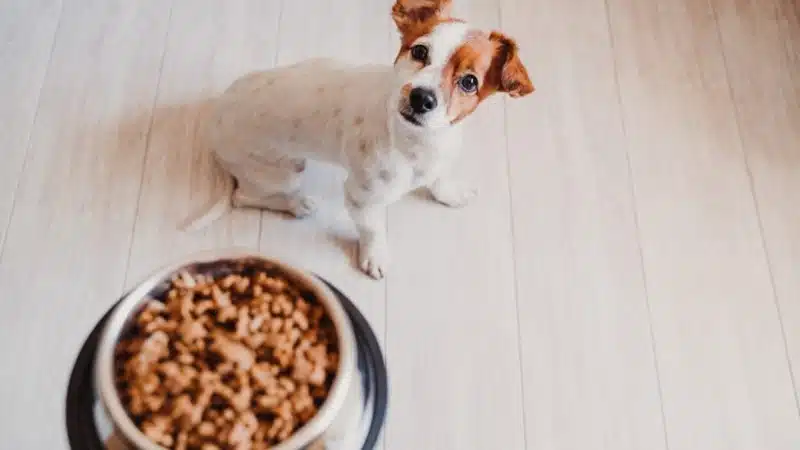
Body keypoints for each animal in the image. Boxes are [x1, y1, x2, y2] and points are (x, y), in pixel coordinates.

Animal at [187, 0, 536, 280]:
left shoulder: (442, 159)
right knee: (244, 197)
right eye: (420, 51)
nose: (421, 98)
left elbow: (440, 179)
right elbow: (373, 229)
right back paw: (296, 204)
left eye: (469, 82)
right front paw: (374, 256)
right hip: (282, 171)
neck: (417, 143)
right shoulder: (362, 198)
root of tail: (215, 114)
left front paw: (449, 193)